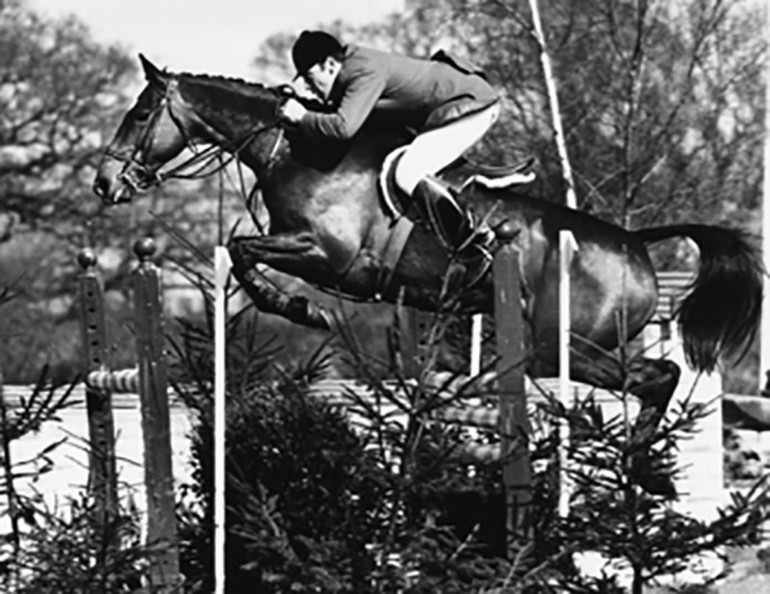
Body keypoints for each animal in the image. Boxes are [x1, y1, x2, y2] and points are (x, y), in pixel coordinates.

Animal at [94, 55, 760, 492]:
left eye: (142, 111)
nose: (104, 184)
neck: (299, 150)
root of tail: (635, 244)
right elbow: (241, 249)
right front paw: (294, 307)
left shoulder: (332, 257)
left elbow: (241, 249)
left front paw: (299, 309)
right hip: (574, 349)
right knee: (654, 377)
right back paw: (639, 468)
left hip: (564, 345)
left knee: (655, 375)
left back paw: (632, 463)